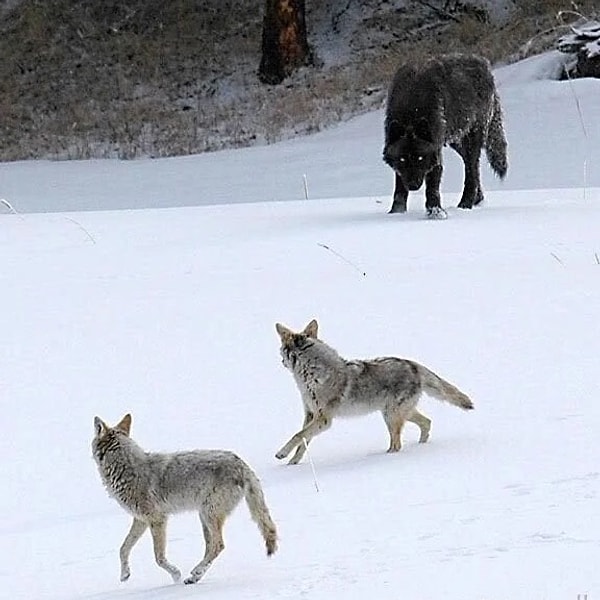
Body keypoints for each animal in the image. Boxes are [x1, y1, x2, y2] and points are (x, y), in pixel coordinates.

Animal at [384, 54, 506, 218]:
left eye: (420, 158)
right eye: (402, 159)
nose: (413, 185)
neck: (411, 110)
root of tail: (484, 63)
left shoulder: (435, 151)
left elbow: (432, 186)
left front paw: (435, 212)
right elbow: (399, 187)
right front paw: (396, 212)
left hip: (472, 138)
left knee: (472, 169)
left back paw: (466, 204)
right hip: (457, 141)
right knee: (470, 165)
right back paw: (477, 199)